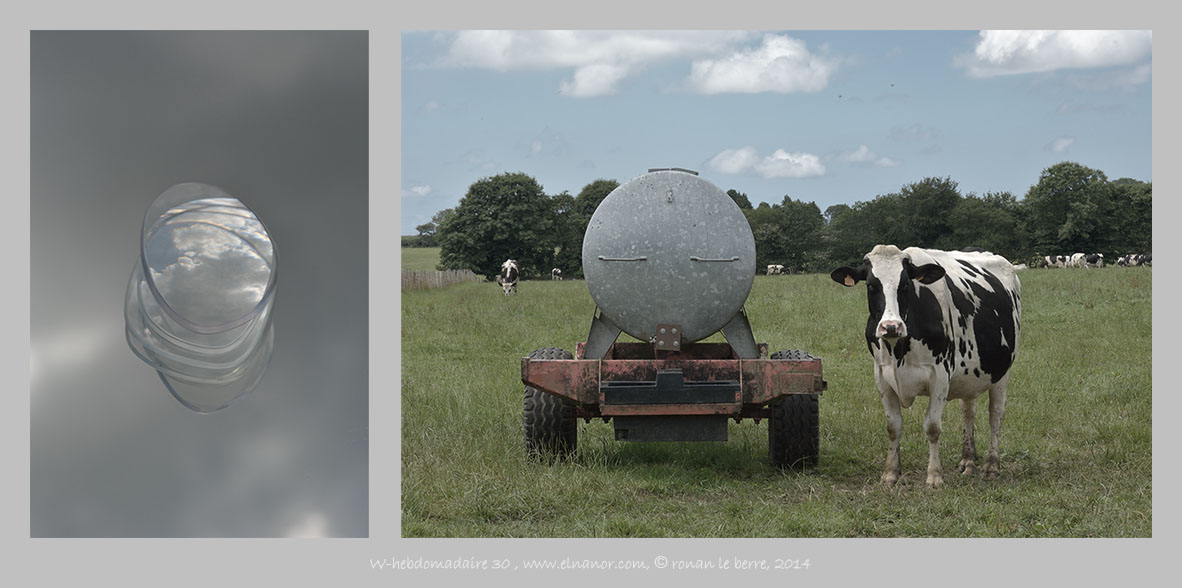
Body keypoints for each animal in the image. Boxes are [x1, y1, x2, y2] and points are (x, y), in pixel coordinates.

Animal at [836, 242, 1021, 485]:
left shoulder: (940, 375)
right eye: (871, 285)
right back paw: (968, 461)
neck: (899, 350)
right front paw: (890, 473)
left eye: (905, 284)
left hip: (1002, 371)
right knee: (968, 412)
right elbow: (893, 426)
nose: (891, 326)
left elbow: (932, 427)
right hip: (970, 375)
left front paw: (934, 476)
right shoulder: (882, 375)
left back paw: (991, 465)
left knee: (996, 414)